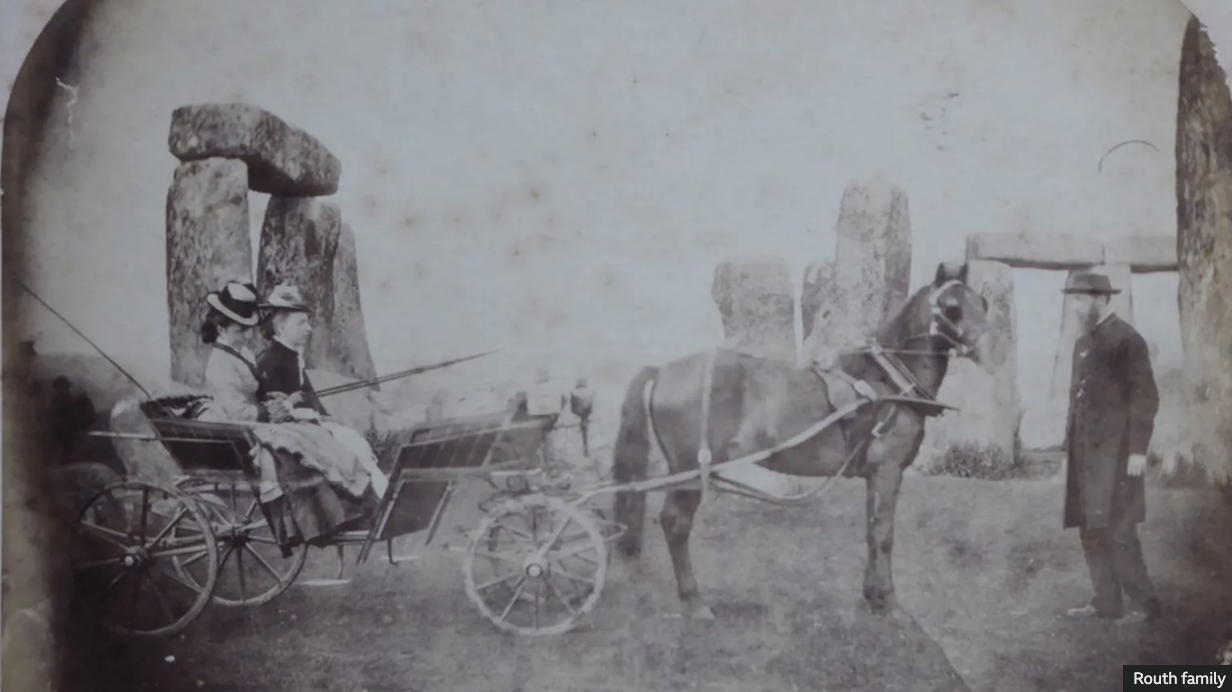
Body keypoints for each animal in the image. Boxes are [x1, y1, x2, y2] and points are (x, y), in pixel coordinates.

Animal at [611, 261, 995, 615]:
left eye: (983, 303)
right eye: (951, 307)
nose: (988, 349)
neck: (888, 383)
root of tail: (662, 370)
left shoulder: (875, 475)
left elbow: (872, 531)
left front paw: (872, 594)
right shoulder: (888, 470)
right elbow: (884, 535)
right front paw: (888, 601)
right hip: (691, 471)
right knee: (676, 523)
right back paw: (694, 601)